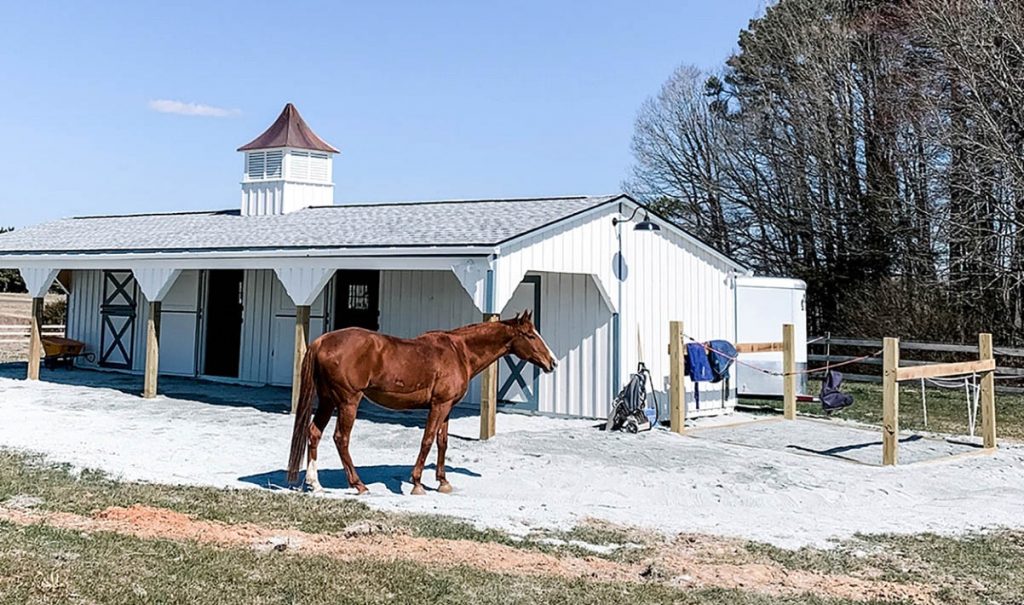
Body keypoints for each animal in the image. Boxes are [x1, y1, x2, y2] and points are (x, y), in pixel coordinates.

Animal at [286, 311, 557, 495]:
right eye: (530, 335)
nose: (552, 362)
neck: (459, 351)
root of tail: (321, 341)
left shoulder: (447, 407)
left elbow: (442, 442)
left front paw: (443, 481)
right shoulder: (438, 406)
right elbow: (427, 440)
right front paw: (417, 483)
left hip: (328, 400)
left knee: (314, 432)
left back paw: (315, 484)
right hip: (347, 402)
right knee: (341, 438)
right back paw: (359, 484)